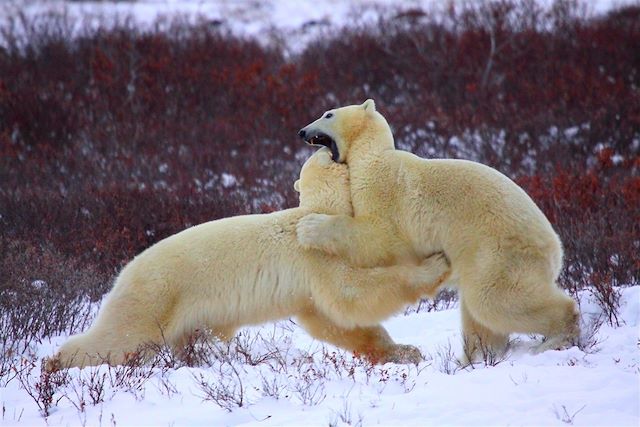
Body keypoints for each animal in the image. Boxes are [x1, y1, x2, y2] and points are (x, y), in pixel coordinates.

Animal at [48, 148, 450, 372]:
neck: (319, 212)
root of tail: (122, 273)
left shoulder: (307, 287)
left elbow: (333, 322)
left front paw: (405, 352)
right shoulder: (316, 256)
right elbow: (351, 295)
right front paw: (437, 264)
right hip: (155, 297)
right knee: (120, 338)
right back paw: (54, 363)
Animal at [296, 101, 580, 364]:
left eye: (328, 114)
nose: (301, 131)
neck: (371, 158)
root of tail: (556, 250)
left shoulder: (385, 190)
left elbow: (379, 238)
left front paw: (310, 227)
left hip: (498, 251)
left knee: (495, 300)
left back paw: (554, 338)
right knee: (479, 316)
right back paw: (474, 359)